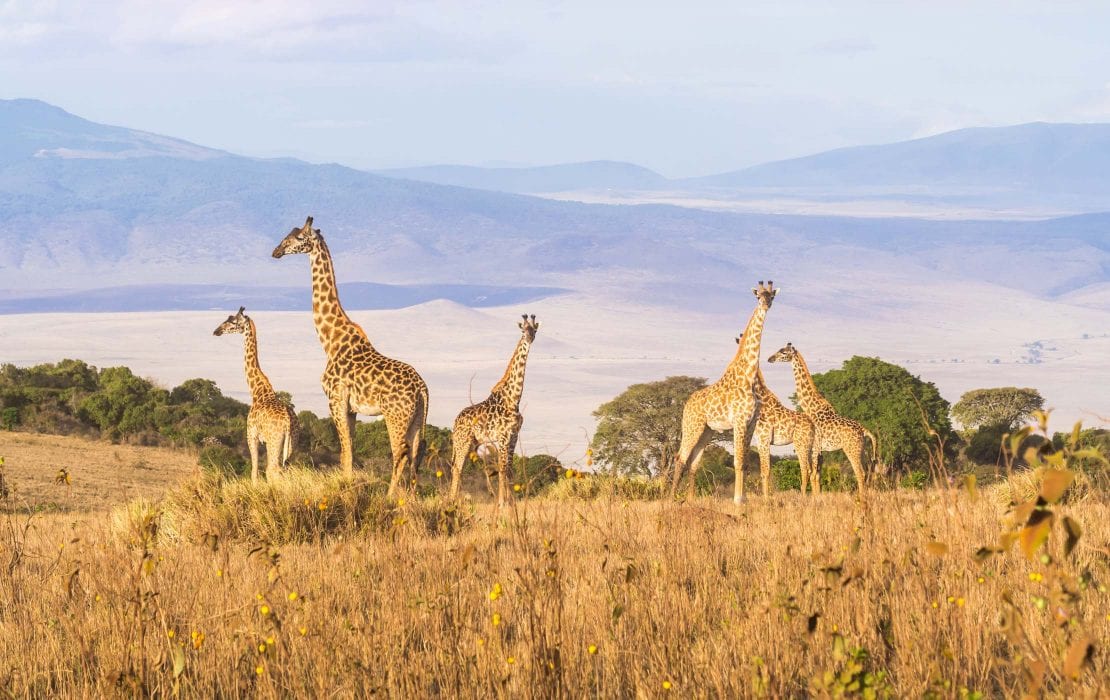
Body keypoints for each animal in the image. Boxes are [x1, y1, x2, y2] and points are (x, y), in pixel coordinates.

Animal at [213, 307, 298, 483]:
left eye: (232, 321)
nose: (216, 331)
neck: (258, 391)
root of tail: (288, 423)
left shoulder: (251, 435)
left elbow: (254, 470)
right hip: (292, 444)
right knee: (286, 469)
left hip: (274, 441)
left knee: (272, 469)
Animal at [272, 217, 429, 496]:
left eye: (299, 238)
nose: (276, 251)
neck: (330, 342)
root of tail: (423, 388)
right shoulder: (352, 408)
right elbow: (351, 452)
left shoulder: (335, 400)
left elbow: (344, 453)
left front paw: (345, 488)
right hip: (416, 419)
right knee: (415, 455)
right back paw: (410, 497)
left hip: (395, 416)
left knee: (399, 454)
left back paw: (390, 496)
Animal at [450, 314, 540, 508]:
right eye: (523, 330)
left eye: (534, 330)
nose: (529, 339)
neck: (513, 399)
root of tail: (455, 422)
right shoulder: (503, 437)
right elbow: (503, 468)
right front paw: (502, 503)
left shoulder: (513, 436)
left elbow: (509, 469)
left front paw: (511, 503)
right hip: (463, 442)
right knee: (457, 468)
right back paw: (452, 501)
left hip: (473, 443)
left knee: (458, 468)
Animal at [672, 281, 776, 503]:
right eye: (758, 296)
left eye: (772, 296)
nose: (766, 305)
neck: (749, 375)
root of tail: (686, 404)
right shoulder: (739, 420)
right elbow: (737, 461)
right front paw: (737, 500)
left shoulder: (751, 423)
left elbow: (744, 462)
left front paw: (744, 499)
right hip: (692, 427)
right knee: (681, 458)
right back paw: (669, 498)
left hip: (707, 431)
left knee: (693, 462)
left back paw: (690, 499)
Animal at [767, 343, 878, 493]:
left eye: (783, 352)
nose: (770, 359)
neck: (811, 407)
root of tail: (864, 430)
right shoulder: (820, 451)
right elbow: (817, 476)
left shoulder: (814, 447)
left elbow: (812, 475)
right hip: (863, 450)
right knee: (868, 472)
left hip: (851, 449)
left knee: (860, 473)